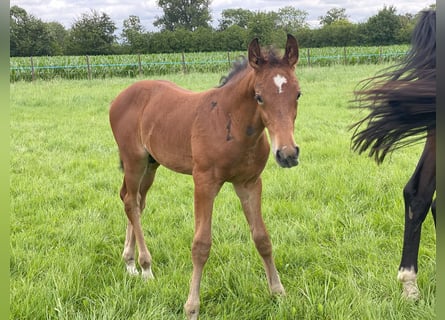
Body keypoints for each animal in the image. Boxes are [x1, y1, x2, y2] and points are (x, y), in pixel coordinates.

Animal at [109, 35, 300, 318]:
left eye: (298, 94)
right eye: (258, 96)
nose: (287, 154)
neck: (230, 123)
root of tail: (119, 97)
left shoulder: (249, 183)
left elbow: (262, 238)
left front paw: (278, 293)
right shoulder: (204, 183)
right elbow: (201, 246)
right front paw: (192, 307)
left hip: (152, 164)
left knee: (135, 201)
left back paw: (130, 262)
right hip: (134, 160)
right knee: (131, 202)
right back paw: (145, 266)